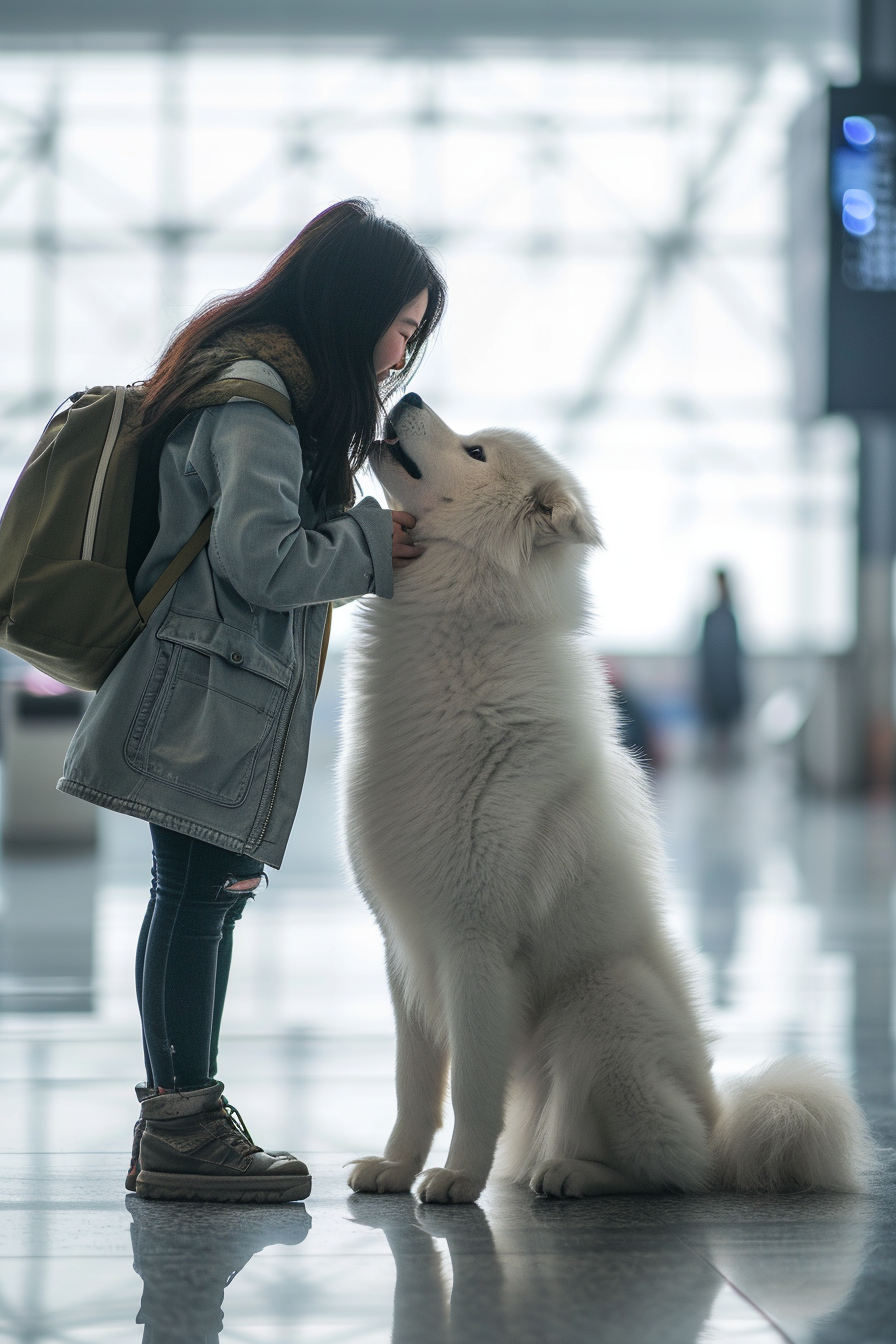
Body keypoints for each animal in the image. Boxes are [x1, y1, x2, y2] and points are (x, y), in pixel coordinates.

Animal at [343, 392, 875, 1204]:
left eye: (475, 452)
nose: (404, 396)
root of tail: (725, 1129)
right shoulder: (405, 948)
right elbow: (415, 1086)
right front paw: (395, 1167)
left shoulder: (475, 945)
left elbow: (470, 1090)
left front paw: (457, 1178)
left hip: (602, 999)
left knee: (674, 1166)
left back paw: (572, 1175)